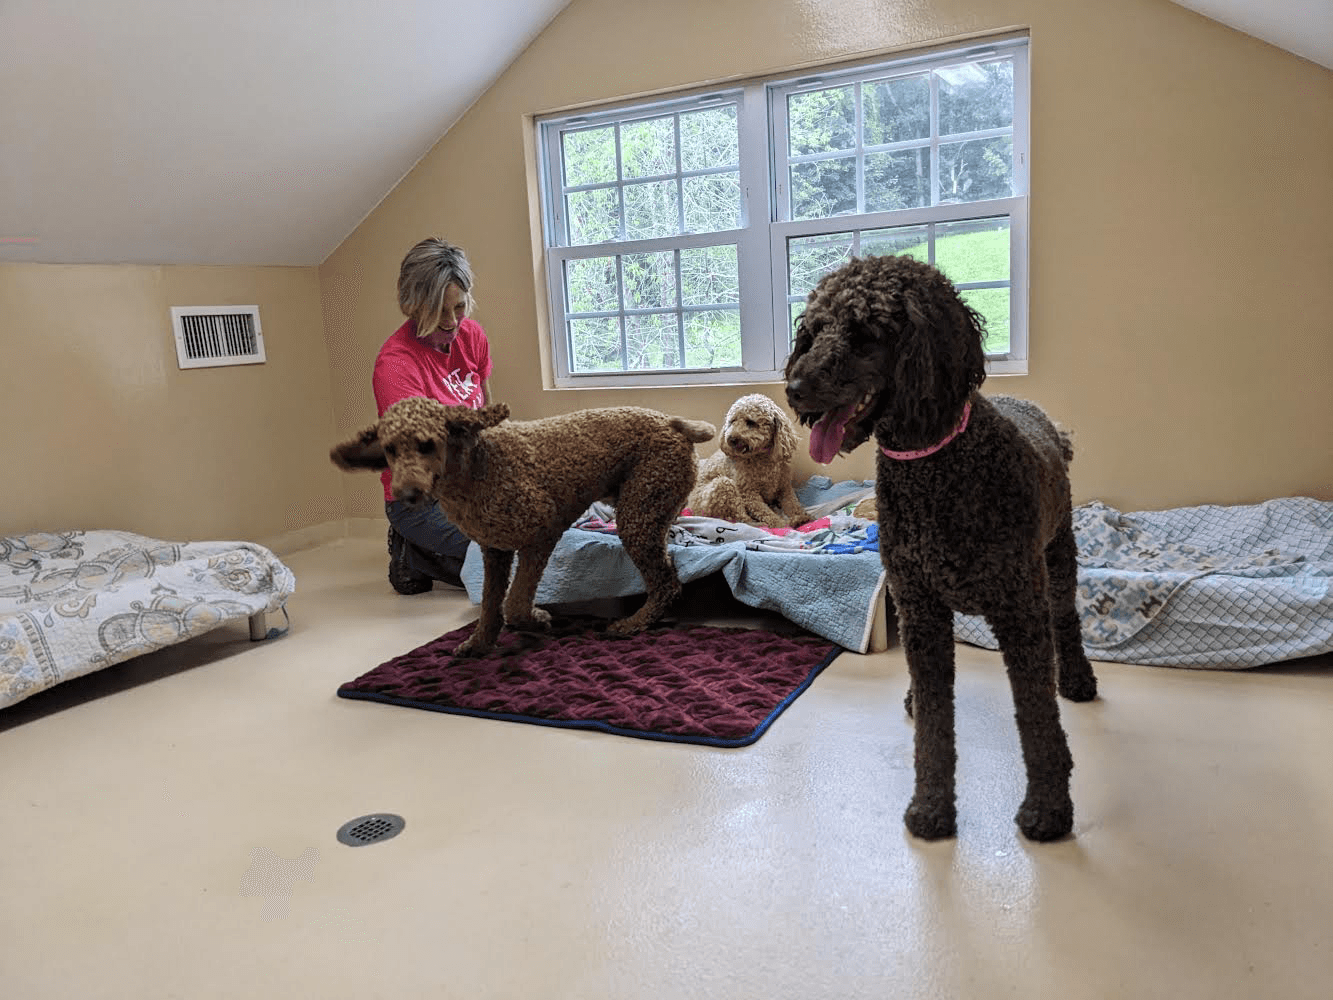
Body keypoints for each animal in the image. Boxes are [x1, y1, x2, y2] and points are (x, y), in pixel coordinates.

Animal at [330, 400, 719, 658]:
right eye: (390, 449)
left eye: (427, 445)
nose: (407, 494)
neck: (476, 465)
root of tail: (673, 422)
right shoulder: (494, 549)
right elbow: (490, 604)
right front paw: (480, 642)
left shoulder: (541, 534)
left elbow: (514, 604)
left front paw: (538, 619)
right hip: (652, 509)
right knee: (669, 563)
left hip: (639, 513)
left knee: (666, 583)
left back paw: (634, 623)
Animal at [693, 394, 805, 528]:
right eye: (732, 421)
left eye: (751, 422)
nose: (730, 439)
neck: (761, 458)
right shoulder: (749, 495)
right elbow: (769, 515)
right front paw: (783, 523)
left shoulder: (785, 488)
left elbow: (794, 505)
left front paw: (803, 517)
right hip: (723, 486)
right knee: (742, 519)